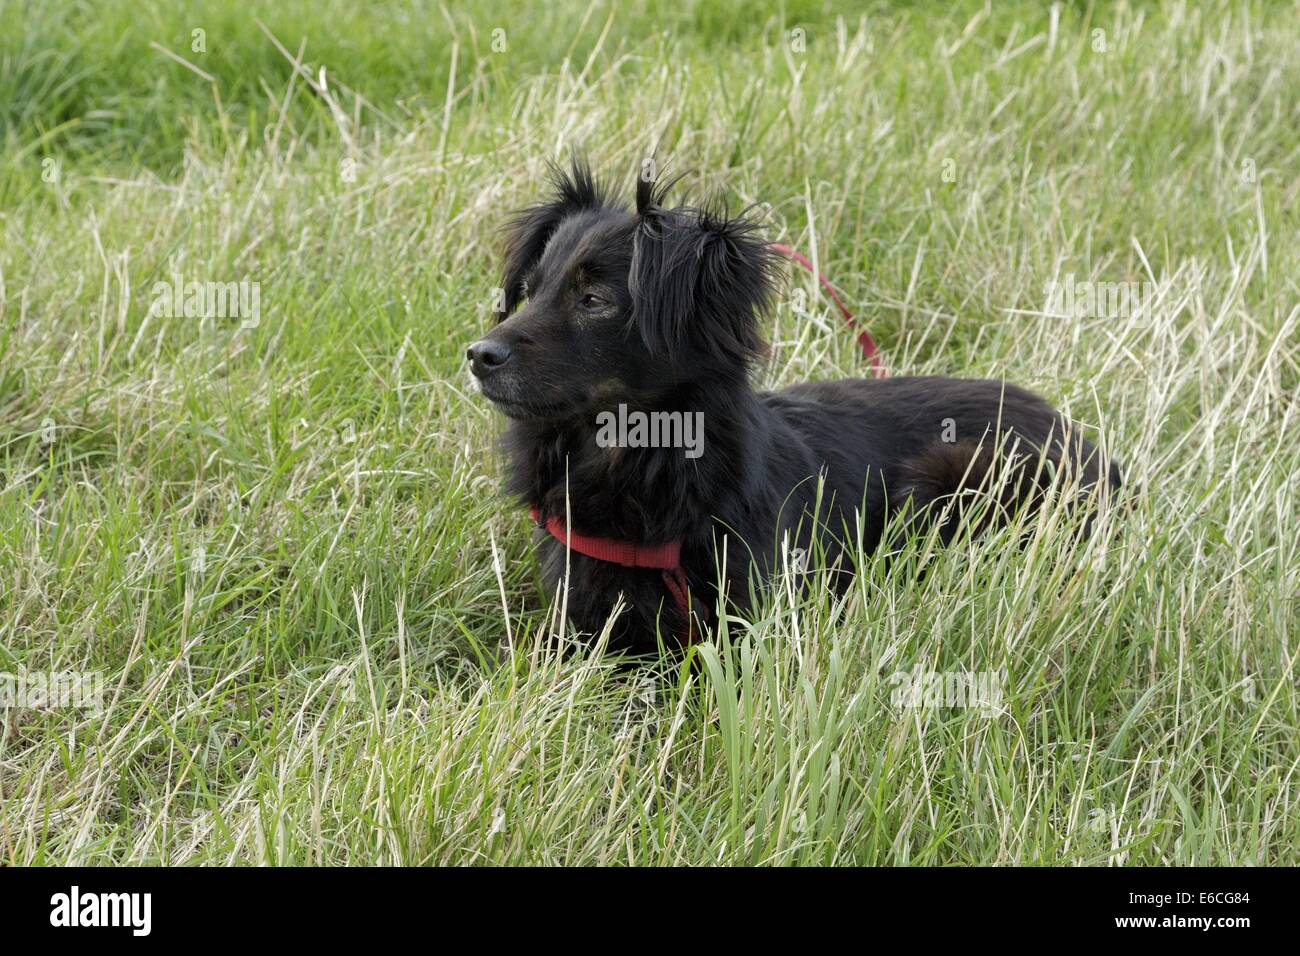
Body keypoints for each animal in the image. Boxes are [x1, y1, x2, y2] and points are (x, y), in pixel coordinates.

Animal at [467, 162, 1118, 658]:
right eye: (530, 291)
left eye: (594, 300)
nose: (478, 355)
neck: (645, 460)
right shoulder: (578, 620)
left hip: (959, 472)